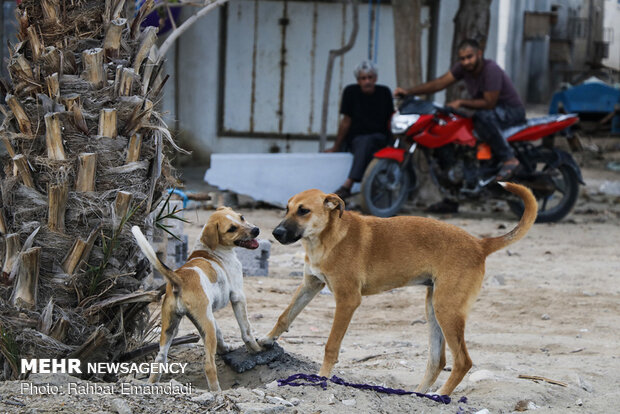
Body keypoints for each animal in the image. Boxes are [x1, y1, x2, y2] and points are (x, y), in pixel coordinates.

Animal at [132, 207, 262, 392]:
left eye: (241, 217)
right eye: (232, 229)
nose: (256, 230)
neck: (212, 251)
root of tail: (179, 278)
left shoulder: (208, 315)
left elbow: (220, 333)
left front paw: (225, 349)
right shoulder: (238, 297)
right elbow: (246, 330)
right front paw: (257, 350)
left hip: (171, 327)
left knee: (160, 359)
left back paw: (152, 384)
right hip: (205, 325)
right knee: (208, 365)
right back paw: (217, 392)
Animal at [260, 184, 536, 394]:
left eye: (304, 211)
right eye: (287, 209)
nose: (276, 233)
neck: (327, 237)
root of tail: (480, 244)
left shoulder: (348, 300)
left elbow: (331, 345)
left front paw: (323, 377)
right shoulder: (310, 285)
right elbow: (285, 315)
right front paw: (266, 339)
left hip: (447, 309)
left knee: (462, 361)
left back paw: (441, 395)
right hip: (434, 308)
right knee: (438, 360)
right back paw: (419, 395)